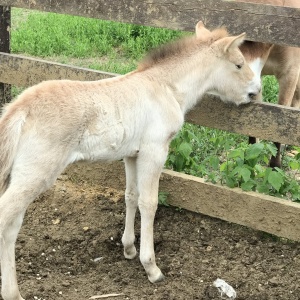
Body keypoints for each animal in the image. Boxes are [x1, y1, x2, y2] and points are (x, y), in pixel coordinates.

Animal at [0, 21, 260, 300]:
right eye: (239, 64)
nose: (255, 92)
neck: (165, 87)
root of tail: (20, 109)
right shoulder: (154, 151)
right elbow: (149, 203)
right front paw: (151, 268)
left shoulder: (131, 155)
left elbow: (131, 196)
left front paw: (128, 249)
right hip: (36, 175)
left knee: (12, 227)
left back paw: (12, 292)